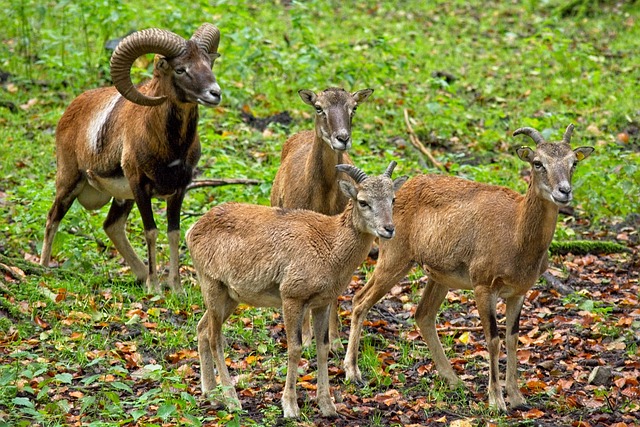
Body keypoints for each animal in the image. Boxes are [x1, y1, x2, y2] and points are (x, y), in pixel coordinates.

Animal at [40, 24, 221, 294]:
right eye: (180, 69)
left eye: (208, 64)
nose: (215, 93)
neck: (171, 149)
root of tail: (70, 111)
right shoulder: (140, 186)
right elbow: (151, 232)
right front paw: (154, 288)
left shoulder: (178, 191)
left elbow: (173, 234)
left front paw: (176, 288)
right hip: (69, 183)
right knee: (53, 218)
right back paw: (42, 268)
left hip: (122, 199)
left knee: (111, 226)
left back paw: (140, 274)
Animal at [189, 160, 404, 418]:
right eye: (363, 201)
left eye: (392, 199)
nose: (388, 229)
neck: (329, 247)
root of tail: (192, 230)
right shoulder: (291, 296)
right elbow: (295, 347)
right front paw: (290, 407)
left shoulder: (322, 302)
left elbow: (323, 347)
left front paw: (328, 406)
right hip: (211, 284)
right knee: (214, 337)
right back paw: (232, 401)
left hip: (230, 296)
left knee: (202, 329)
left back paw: (211, 395)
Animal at [270, 88, 376, 352]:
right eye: (319, 108)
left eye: (354, 108)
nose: (342, 138)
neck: (323, 198)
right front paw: (307, 339)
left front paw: (335, 341)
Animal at [344, 125, 596, 412]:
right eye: (537, 162)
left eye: (573, 162)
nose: (564, 191)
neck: (516, 236)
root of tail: (396, 194)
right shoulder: (483, 285)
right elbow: (493, 339)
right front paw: (497, 401)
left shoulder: (518, 292)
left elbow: (512, 338)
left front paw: (517, 398)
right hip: (394, 258)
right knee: (360, 300)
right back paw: (353, 373)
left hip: (439, 276)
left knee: (423, 314)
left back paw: (454, 380)